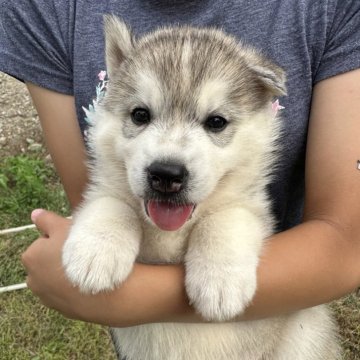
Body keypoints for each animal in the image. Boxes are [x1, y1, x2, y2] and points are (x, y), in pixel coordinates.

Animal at [62, 15, 340, 358]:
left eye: (216, 122)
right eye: (140, 115)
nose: (166, 174)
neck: (171, 233)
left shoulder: (251, 208)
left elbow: (225, 219)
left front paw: (220, 282)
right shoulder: (105, 190)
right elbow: (110, 203)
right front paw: (95, 253)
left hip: (307, 332)